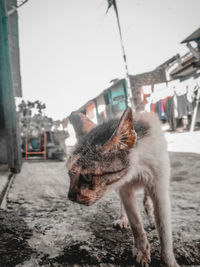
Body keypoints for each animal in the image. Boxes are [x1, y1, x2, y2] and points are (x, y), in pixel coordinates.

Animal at [66, 108, 179, 266]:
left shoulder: (159, 188)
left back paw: (151, 218)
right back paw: (122, 218)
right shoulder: (124, 189)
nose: (69, 197)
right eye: (70, 174)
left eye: (87, 176)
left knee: (147, 200)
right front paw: (142, 251)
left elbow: (164, 229)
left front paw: (169, 260)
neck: (137, 169)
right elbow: (136, 224)